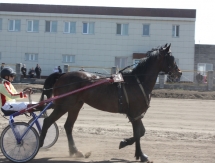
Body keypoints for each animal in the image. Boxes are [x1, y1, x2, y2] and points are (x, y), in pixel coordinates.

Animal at [39, 43, 181, 162]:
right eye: (171, 58)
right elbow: (139, 133)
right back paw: (39, 144)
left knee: (68, 126)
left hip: (75, 105)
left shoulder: (135, 114)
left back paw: (75, 151)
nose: (179, 73)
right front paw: (138, 153)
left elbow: (140, 132)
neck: (138, 81)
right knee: (47, 121)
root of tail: (62, 75)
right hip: (64, 105)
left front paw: (130, 146)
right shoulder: (135, 113)